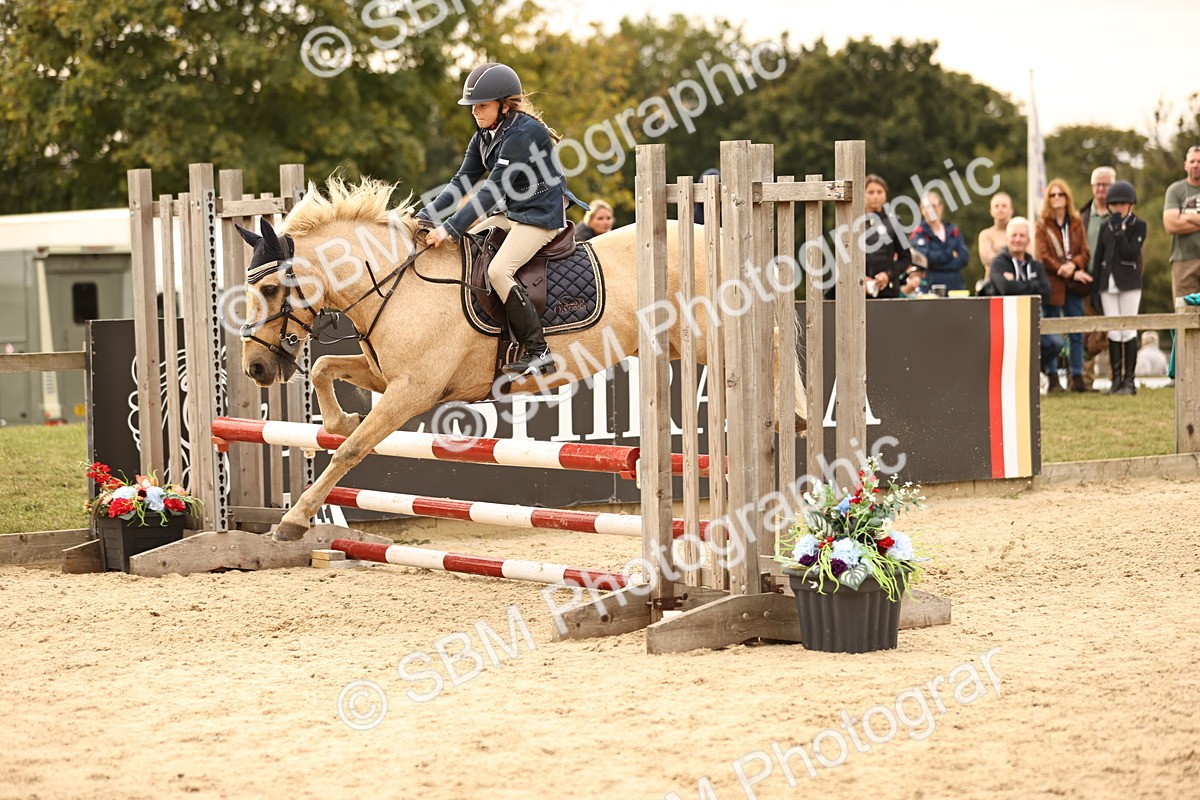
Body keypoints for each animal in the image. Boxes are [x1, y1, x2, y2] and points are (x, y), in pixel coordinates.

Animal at [236, 176, 807, 541]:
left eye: (269, 288)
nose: (255, 369)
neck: (398, 284)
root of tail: (718, 233)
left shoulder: (413, 391)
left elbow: (351, 451)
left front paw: (294, 520)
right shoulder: (387, 376)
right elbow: (325, 369)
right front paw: (335, 421)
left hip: (711, 335)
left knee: (773, 351)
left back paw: (791, 421)